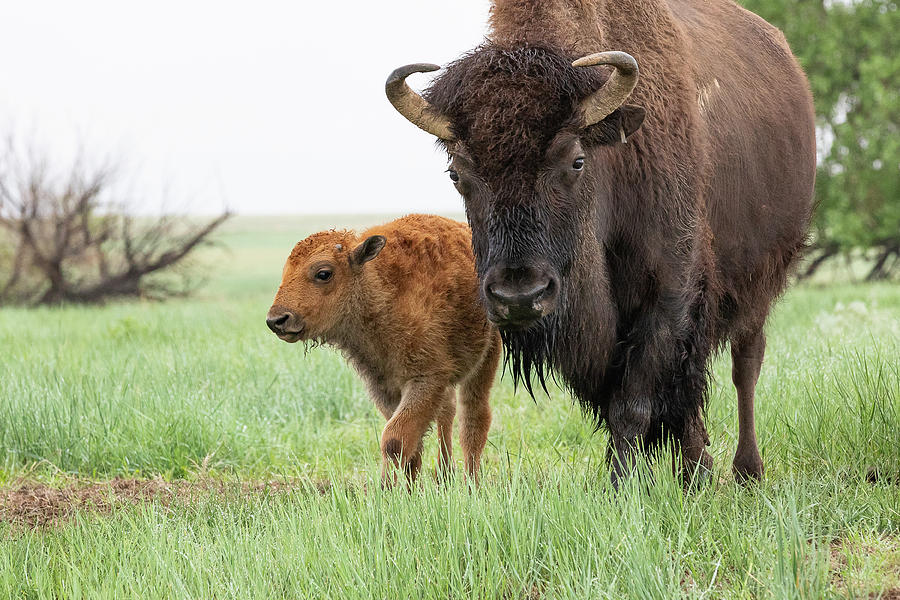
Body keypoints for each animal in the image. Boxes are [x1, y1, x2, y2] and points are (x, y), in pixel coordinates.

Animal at [268, 213, 506, 486]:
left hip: (487, 355)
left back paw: (471, 484)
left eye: (324, 273)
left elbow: (394, 440)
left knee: (474, 418)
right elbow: (411, 446)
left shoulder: (426, 379)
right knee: (448, 411)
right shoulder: (385, 387)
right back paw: (445, 475)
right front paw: (410, 490)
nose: (277, 320)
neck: (377, 288)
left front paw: (386, 490)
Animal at [386, 0, 816, 486]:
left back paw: (746, 470)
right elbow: (627, 402)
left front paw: (622, 483)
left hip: (762, 280)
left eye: (576, 160)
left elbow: (635, 400)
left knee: (745, 363)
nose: (520, 295)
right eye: (456, 173)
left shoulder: (669, 293)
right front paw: (660, 474)